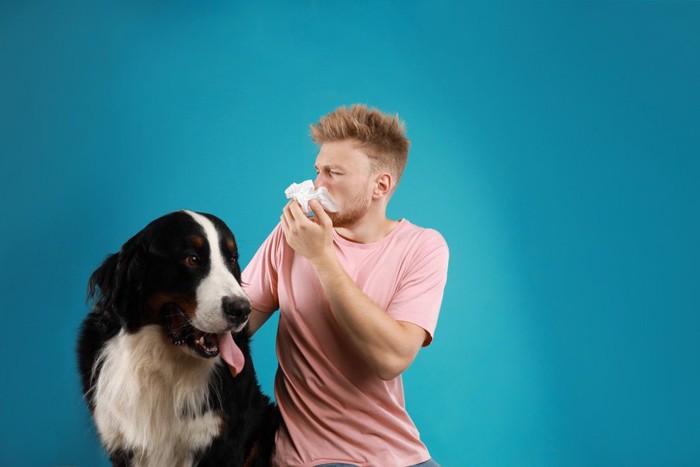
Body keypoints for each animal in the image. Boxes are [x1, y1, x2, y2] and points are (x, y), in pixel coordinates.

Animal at [77, 211, 278, 467]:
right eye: (192, 259)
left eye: (232, 259)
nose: (242, 309)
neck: (160, 360)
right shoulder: (119, 439)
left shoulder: (224, 442)